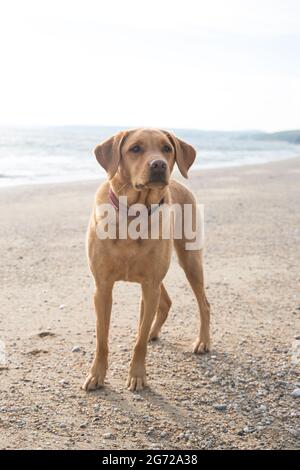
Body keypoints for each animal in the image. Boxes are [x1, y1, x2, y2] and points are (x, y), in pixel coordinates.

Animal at [83, 126, 211, 392]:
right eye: (135, 148)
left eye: (167, 148)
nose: (159, 164)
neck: (135, 214)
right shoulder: (103, 288)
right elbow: (102, 339)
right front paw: (96, 375)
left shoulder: (149, 286)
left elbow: (139, 342)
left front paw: (137, 375)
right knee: (167, 302)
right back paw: (154, 331)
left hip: (189, 260)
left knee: (204, 304)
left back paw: (202, 341)